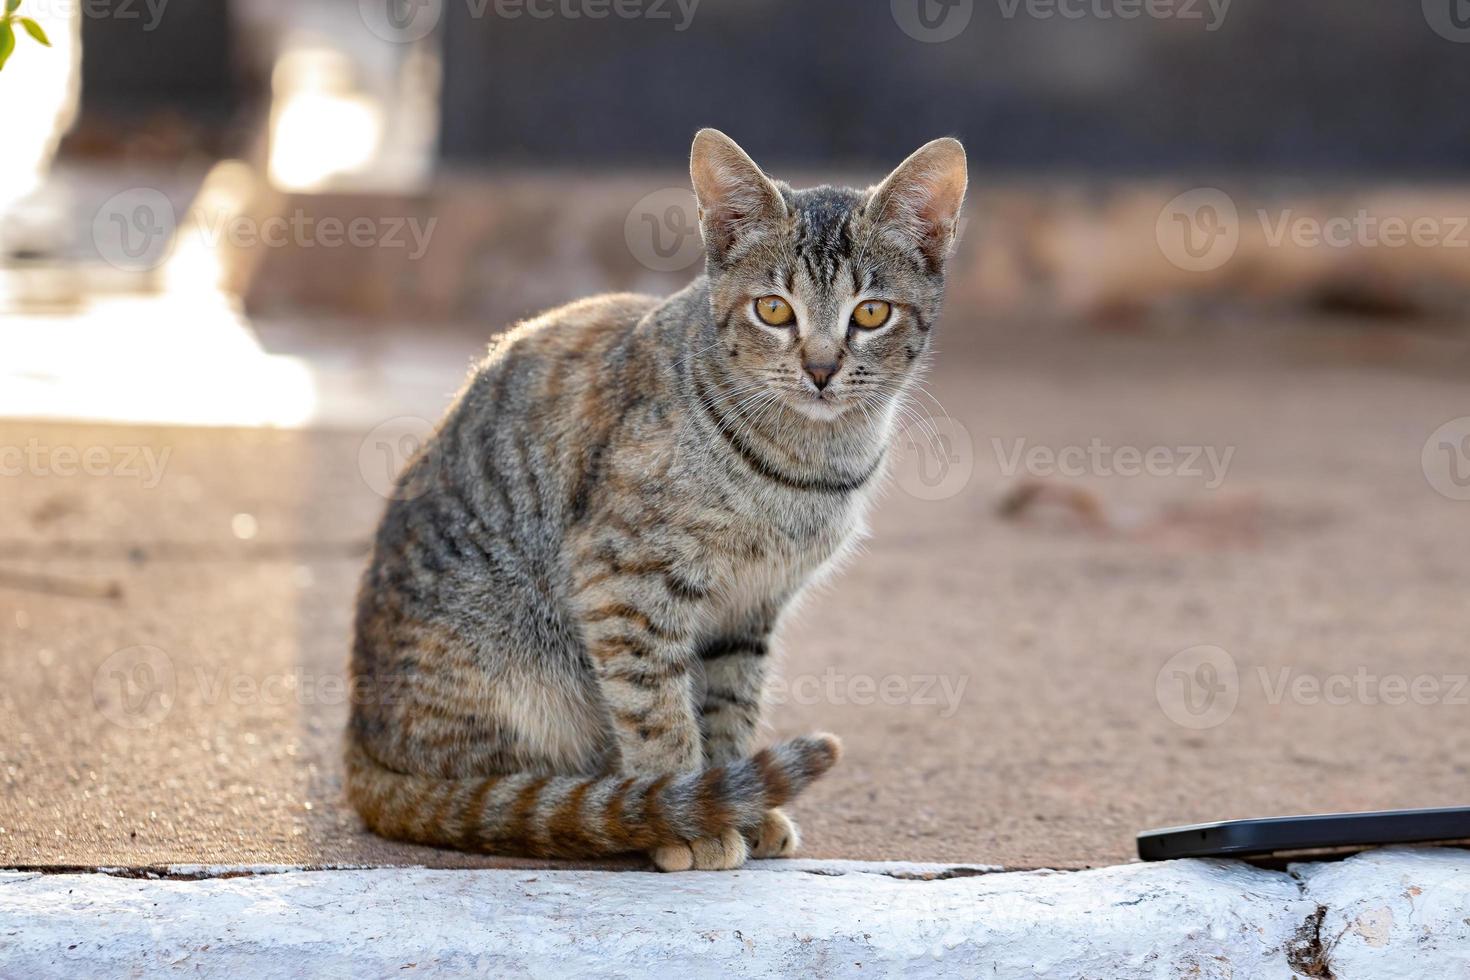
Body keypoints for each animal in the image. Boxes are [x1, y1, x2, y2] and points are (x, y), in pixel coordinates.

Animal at [343, 126, 964, 869]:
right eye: (773, 310)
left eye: (870, 312)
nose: (819, 369)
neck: (807, 467)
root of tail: (360, 749)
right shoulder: (624, 581)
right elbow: (656, 709)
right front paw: (685, 816)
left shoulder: (750, 608)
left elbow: (729, 705)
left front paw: (731, 800)